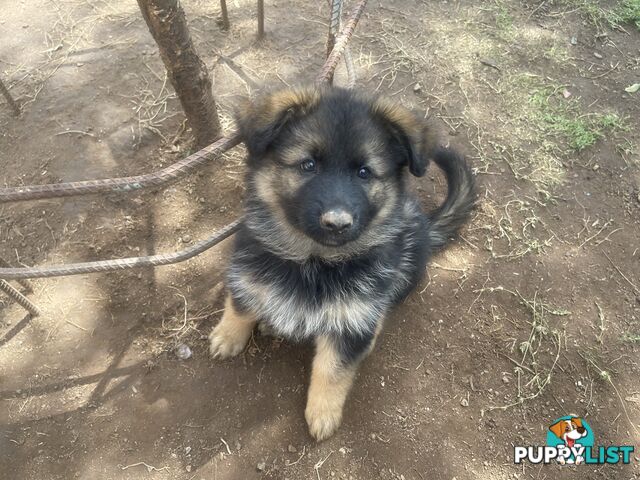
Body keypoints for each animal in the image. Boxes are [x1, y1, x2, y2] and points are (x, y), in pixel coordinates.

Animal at [210, 85, 476, 438]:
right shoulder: (248, 270)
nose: (337, 223)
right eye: (308, 165)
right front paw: (227, 336)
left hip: (403, 271)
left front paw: (323, 413)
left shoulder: (352, 318)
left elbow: (332, 369)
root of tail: (426, 227)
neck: (314, 262)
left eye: (364, 173)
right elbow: (240, 304)